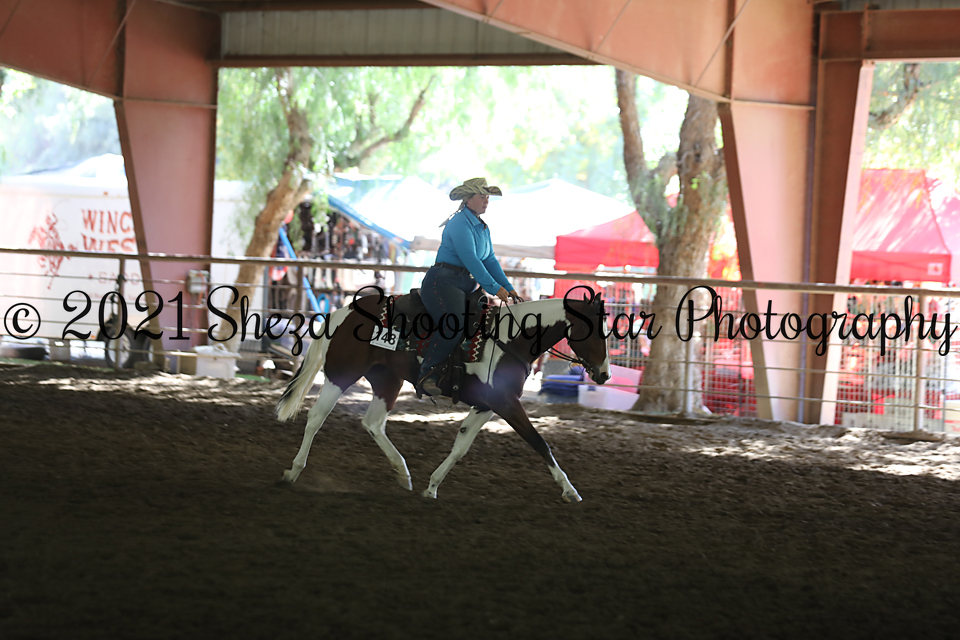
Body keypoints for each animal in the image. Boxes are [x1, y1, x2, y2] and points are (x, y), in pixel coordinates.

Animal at [275, 288, 611, 502]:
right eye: (594, 330)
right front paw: (570, 491)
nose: (604, 375)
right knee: (316, 417)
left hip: (387, 380)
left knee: (372, 423)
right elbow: (540, 442)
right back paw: (293, 472)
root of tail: (341, 313)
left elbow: (460, 446)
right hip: (341, 373)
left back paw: (403, 473)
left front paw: (432, 486)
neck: (511, 339)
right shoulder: (506, 403)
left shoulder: (486, 406)